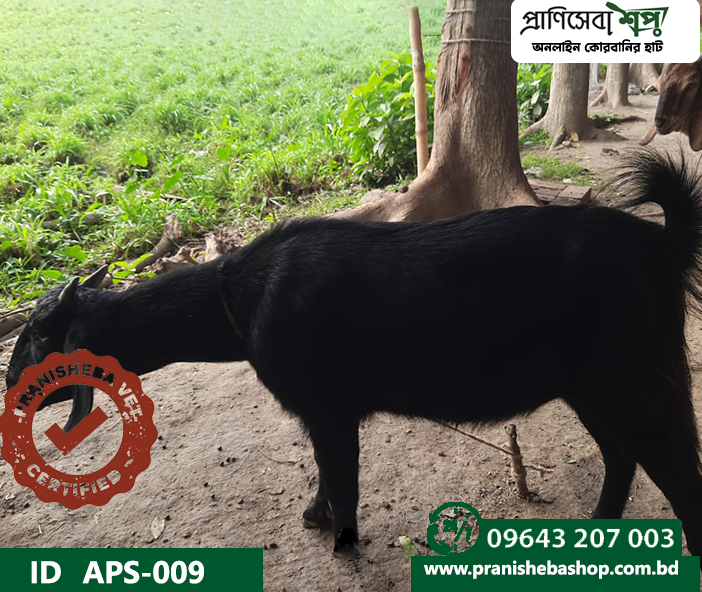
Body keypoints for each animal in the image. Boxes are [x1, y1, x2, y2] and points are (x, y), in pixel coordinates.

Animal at [7, 150, 702, 560]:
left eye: (38, 333)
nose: (13, 386)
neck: (239, 297)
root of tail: (663, 247)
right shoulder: (324, 413)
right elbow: (325, 468)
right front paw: (315, 516)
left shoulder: (328, 406)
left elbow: (340, 472)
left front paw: (338, 539)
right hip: (594, 385)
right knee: (623, 455)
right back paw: (598, 531)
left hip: (636, 376)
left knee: (676, 467)